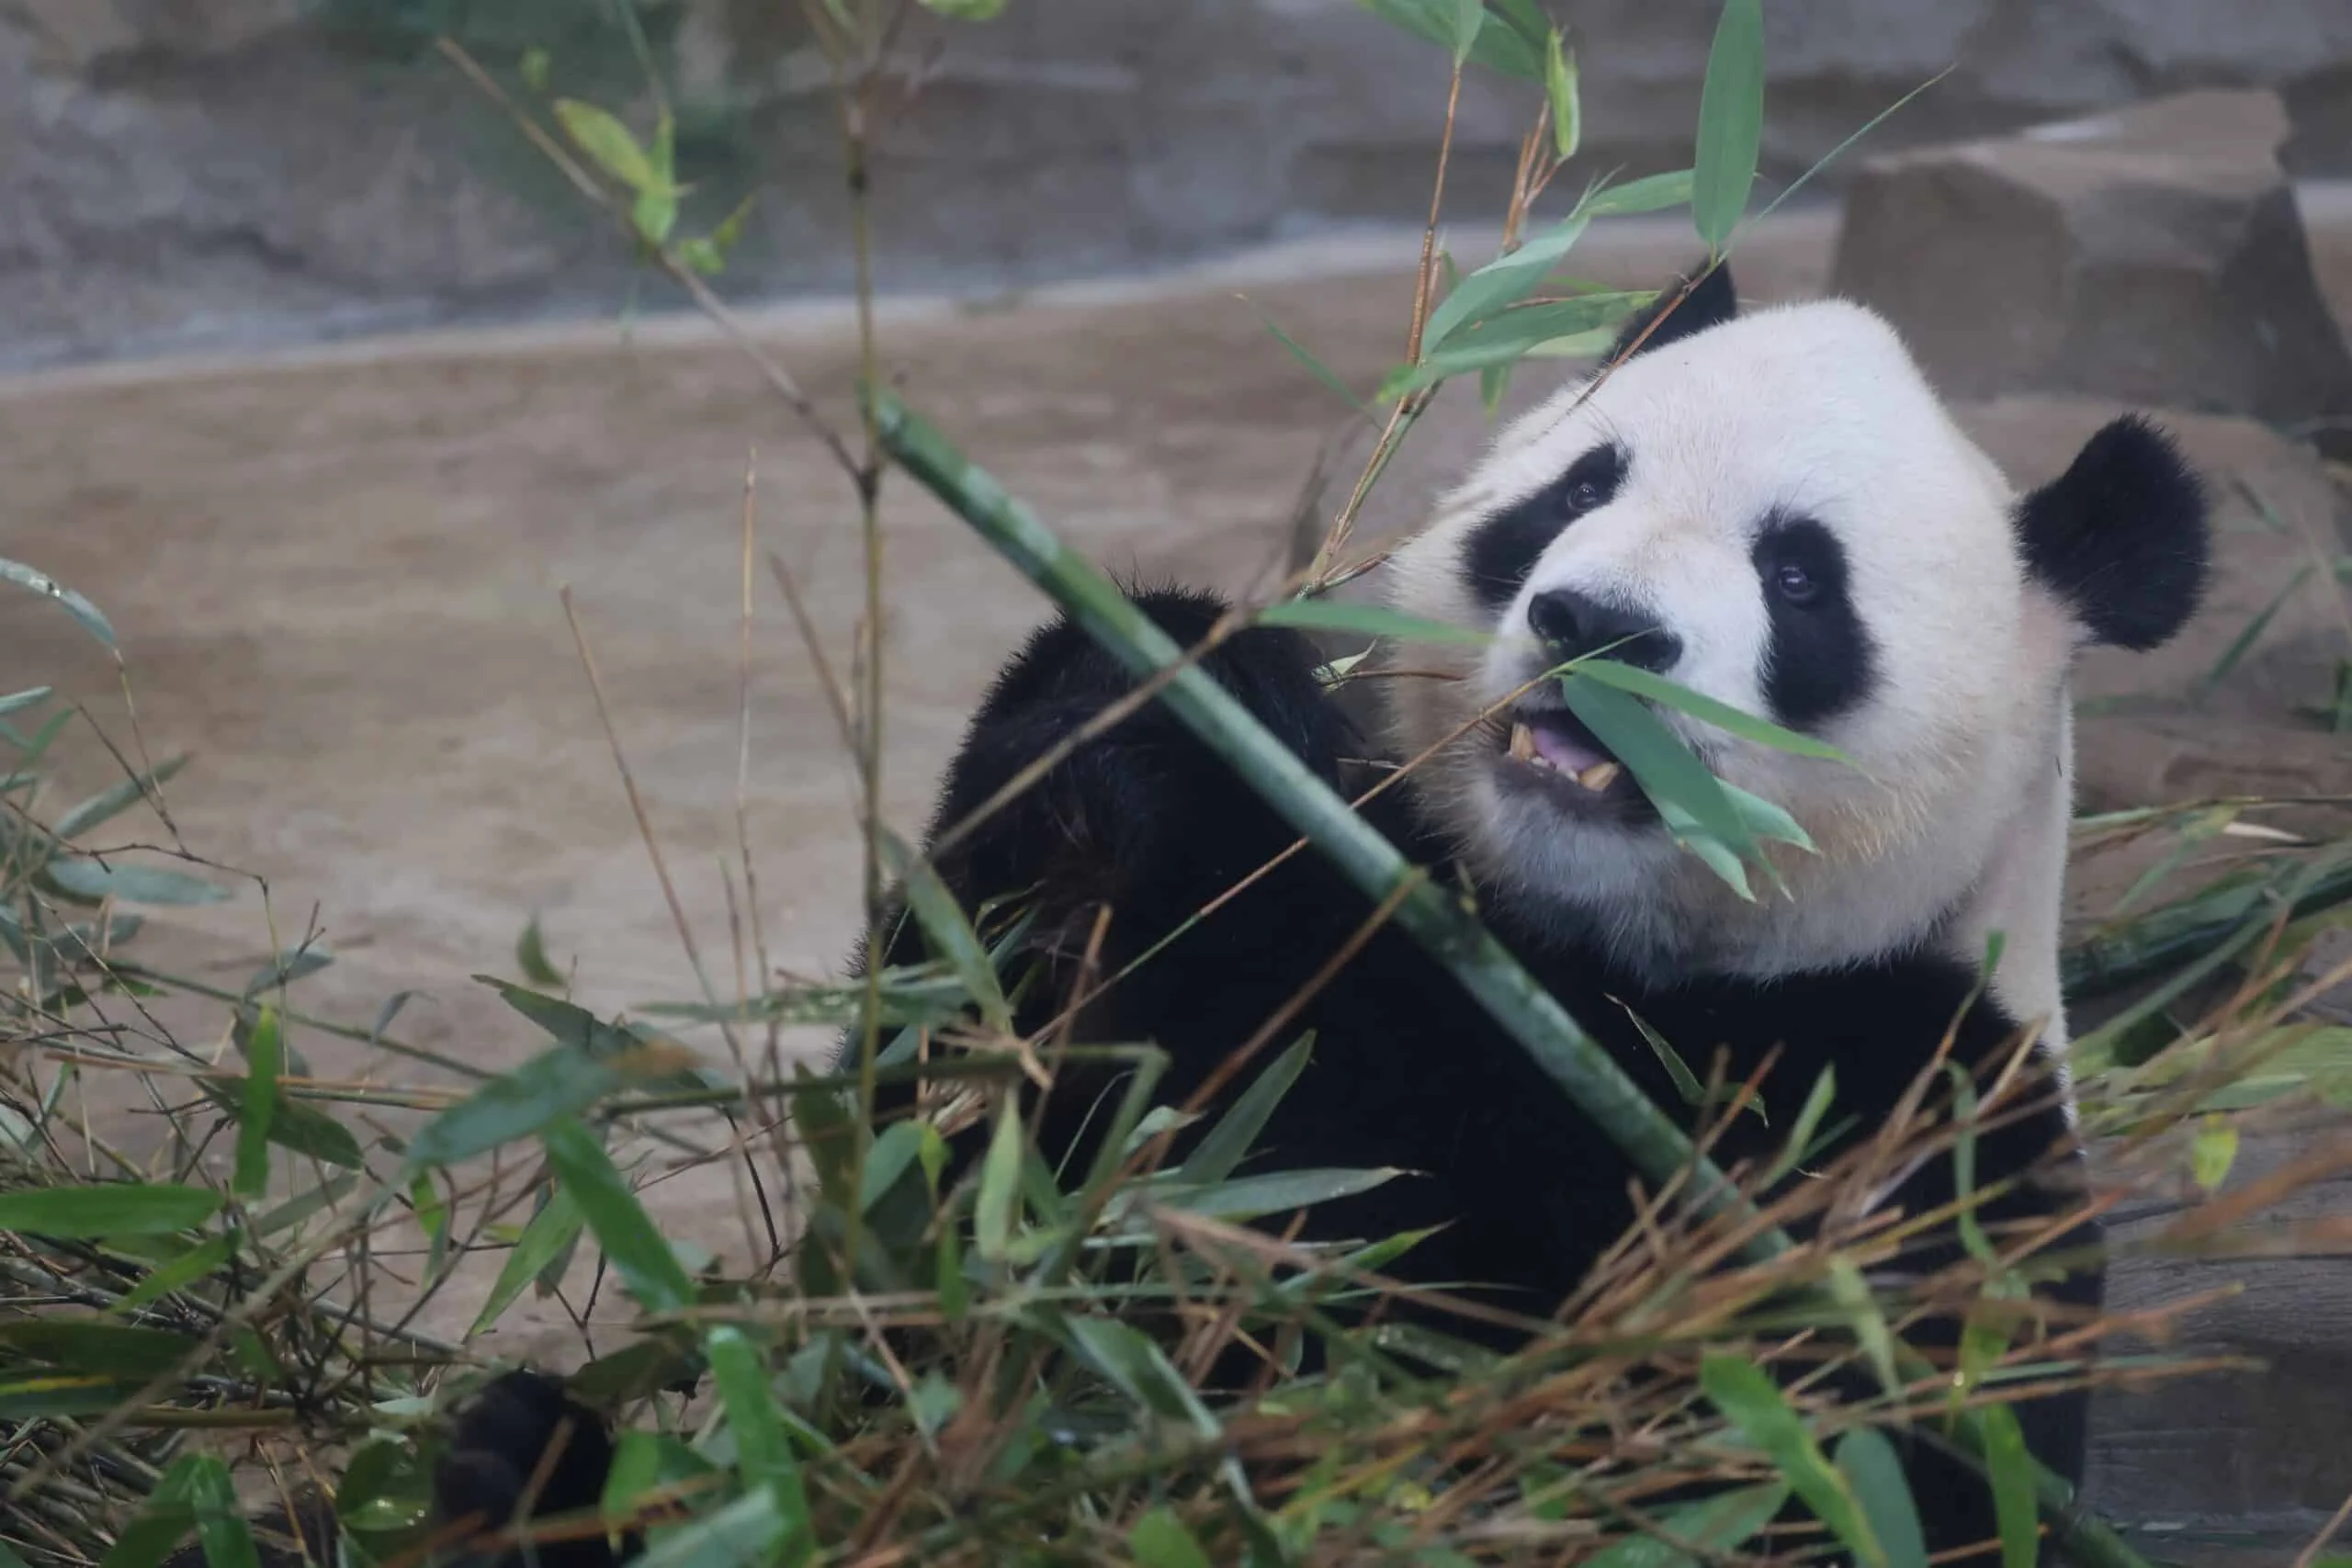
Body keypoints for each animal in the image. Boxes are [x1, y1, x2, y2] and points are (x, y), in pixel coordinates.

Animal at [172, 263, 2208, 1568]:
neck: (1559, 947)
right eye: (1576, 483)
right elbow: (958, 1138)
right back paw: (537, 1484)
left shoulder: (1901, 1114)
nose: (1596, 626)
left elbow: (1811, 1456)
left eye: (1799, 578)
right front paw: (1170, 711)